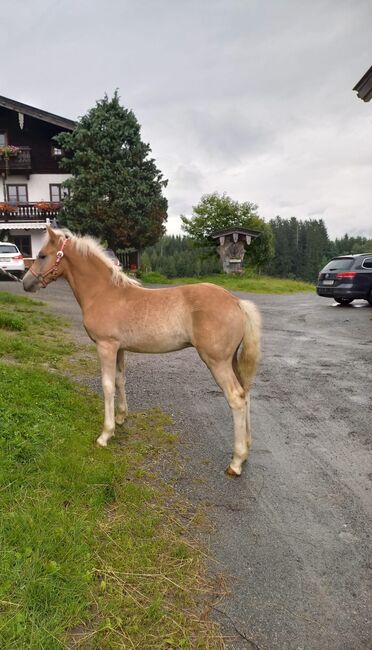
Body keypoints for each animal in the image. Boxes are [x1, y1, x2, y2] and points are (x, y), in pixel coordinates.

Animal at [23, 225, 262, 474]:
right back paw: (246, 449)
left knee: (236, 398)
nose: (25, 283)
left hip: (217, 361)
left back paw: (236, 461)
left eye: (42, 256)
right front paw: (121, 417)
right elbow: (120, 380)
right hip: (231, 360)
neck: (103, 293)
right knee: (246, 394)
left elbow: (107, 386)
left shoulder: (106, 346)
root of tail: (236, 302)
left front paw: (105, 434)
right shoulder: (119, 348)